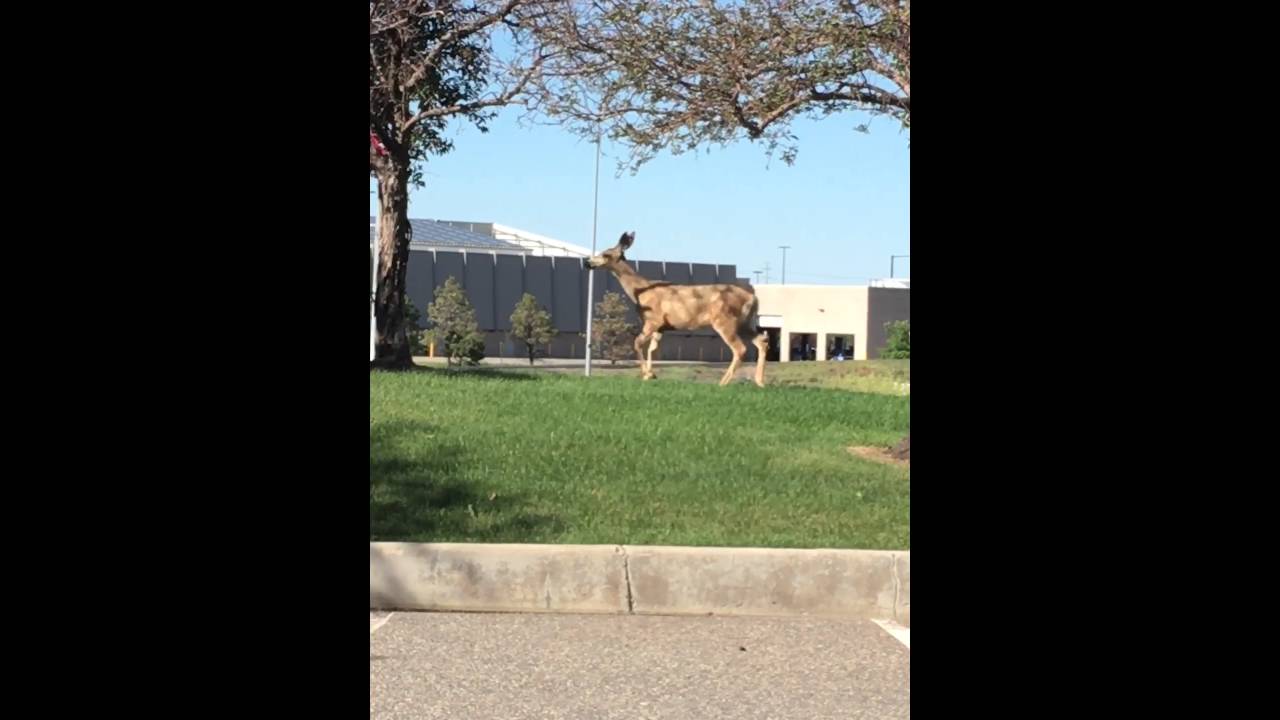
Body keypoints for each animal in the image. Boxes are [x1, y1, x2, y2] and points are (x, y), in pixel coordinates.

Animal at [585, 231, 769, 387]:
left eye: (605, 254)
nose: (588, 262)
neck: (640, 291)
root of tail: (753, 298)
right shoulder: (662, 327)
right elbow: (653, 349)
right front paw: (651, 375)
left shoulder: (653, 320)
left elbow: (637, 343)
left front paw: (646, 374)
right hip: (745, 323)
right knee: (761, 341)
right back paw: (759, 382)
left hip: (724, 321)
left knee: (740, 348)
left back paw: (723, 383)